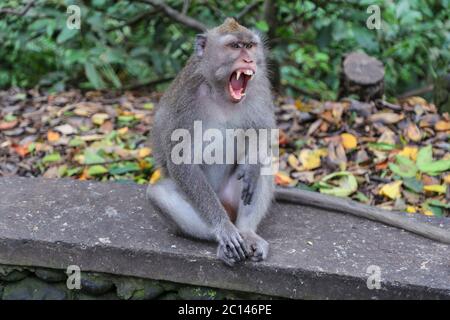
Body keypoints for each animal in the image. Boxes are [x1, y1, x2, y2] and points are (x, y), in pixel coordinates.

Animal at [147, 17, 274, 264]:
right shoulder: (186, 101)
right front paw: (223, 229)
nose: (249, 59)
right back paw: (226, 240)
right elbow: (181, 161)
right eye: (235, 46)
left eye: (250, 45)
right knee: (159, 194)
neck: (222, 92)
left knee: (265, 162)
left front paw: (253, 166)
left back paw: (247, 232)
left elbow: (265, 130)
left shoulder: (260, 87)